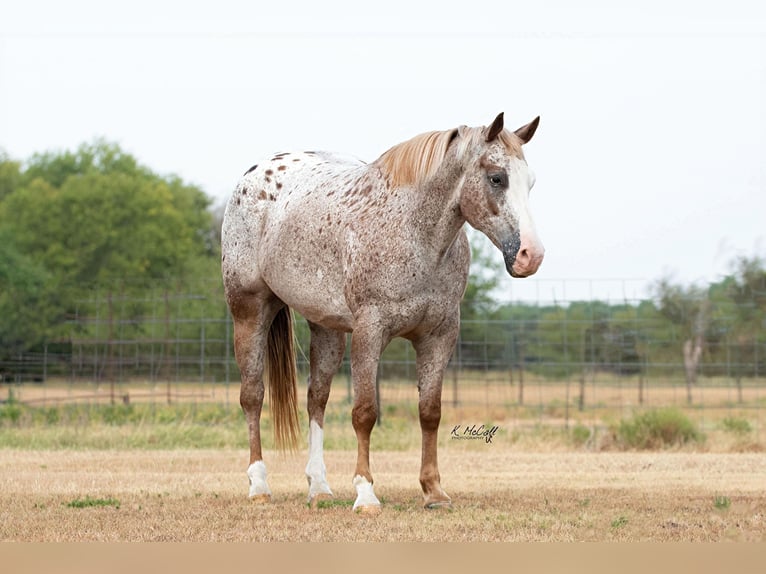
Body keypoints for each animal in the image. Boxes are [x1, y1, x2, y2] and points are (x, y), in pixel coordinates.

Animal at [222, 111, 544, 512]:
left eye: (530, 182)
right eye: (497, 177)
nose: (531, 255)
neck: (415, 235)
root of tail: (253, 174)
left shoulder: (439, 336)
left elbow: (430, 412)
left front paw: (434, 491)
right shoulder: (370, 332)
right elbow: (365, 413)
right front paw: (365, 493)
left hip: (326, 329)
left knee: (316, 400)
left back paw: (319, 487)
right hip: (249, 312)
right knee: (252, 396)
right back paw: (259, 486)